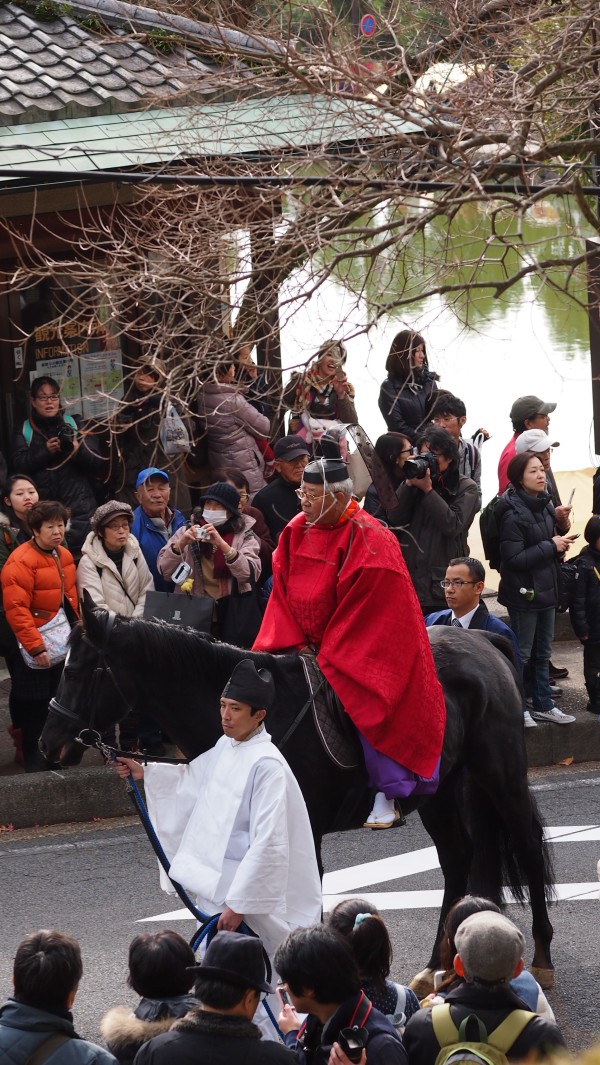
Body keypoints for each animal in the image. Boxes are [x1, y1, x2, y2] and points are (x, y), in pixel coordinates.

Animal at [39, 596, 558, 992]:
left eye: (80, 669)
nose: (48, 743)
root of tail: (483, 639)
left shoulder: (297, 825)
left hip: (499, 772)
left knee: (527, 848)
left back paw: (541, 956)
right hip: (443, 788)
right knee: (459, 858)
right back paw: (440, 962)